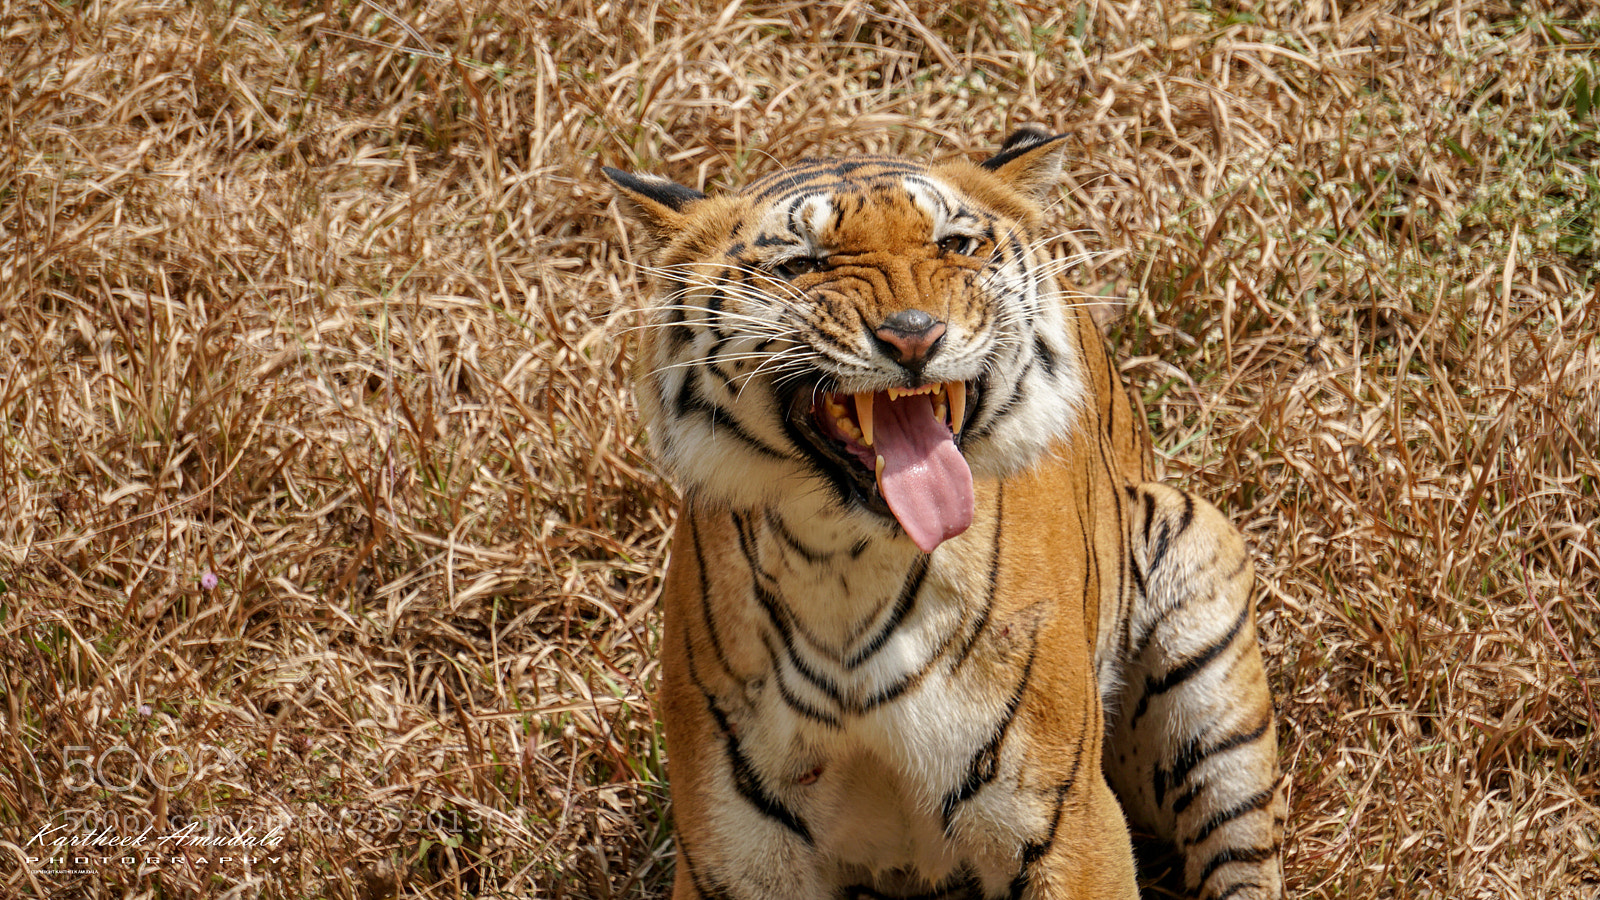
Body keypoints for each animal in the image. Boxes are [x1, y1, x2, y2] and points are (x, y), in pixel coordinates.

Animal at [602, 127, 1285, 900]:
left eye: (955, 245)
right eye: (802, 264)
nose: (913, 336)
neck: (844, 564)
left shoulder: (1064, 821)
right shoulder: (736, 852)